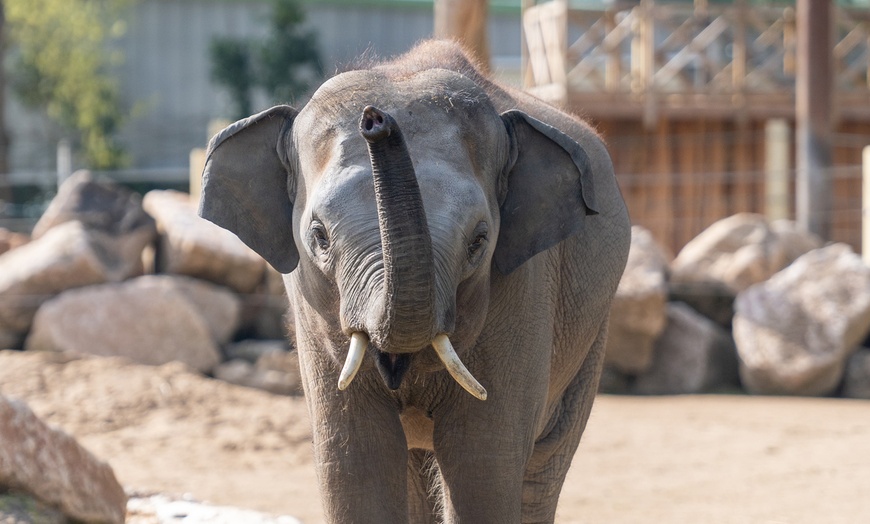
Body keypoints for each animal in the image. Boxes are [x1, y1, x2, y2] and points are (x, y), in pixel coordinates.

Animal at [201, 40, 632, 524]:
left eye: (479, 240)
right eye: (319, 236)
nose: (375, 120)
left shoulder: (525, 289)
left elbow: (483, 463)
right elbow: (354, 461)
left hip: (592, 335)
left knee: (540, 470)